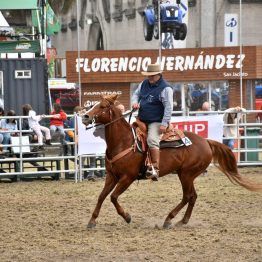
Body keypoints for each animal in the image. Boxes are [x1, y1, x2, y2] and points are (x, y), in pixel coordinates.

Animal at [83, 95, 262, 228]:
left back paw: (169, 219)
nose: (85, 116)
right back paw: (182, 221)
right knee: (193, 196)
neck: (124, 141)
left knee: (188, 196)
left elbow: (113, 197)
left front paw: (127, 217)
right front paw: (92, 221)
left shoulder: (128, 177)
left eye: (102, 106)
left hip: (187, 174)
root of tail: (206, 142)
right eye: (94, 104)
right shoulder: (111, 176)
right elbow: (102, 196)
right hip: (186, 175)